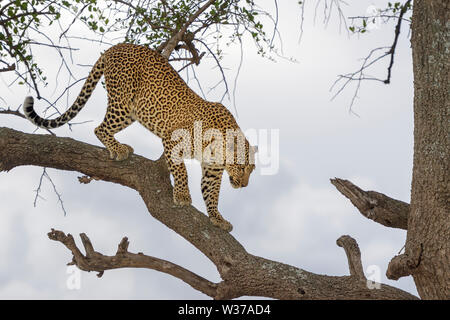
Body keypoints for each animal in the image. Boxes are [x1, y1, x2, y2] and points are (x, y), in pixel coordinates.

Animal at [22, 42, 256, 232]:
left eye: (251, 170)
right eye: (243, 167)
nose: (245, 185)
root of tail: (116, 46)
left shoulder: (212, 170)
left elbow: (211, 193)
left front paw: (217, 219)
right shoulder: (172, 140)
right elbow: (181, 171)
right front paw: (182, 195)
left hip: (131, 111)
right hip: (123, 103)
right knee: (99, 128)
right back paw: (118, 149)